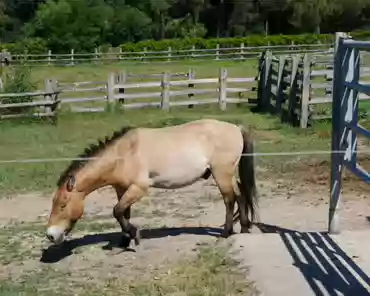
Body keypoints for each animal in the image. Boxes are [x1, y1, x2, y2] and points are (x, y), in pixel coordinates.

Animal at [46, 119, 258, 249]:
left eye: (63, 205)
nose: (50, 235)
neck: (123, 154)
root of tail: (236, 128)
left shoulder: (139, 188)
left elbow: (116, 211)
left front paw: (134, 234)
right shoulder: (122, 189)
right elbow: (123, 213)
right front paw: (125, 239)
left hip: (221, 174)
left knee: (229, 199)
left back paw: (226, 233)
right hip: (228, 175)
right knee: (240, 194)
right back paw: (244, 228)